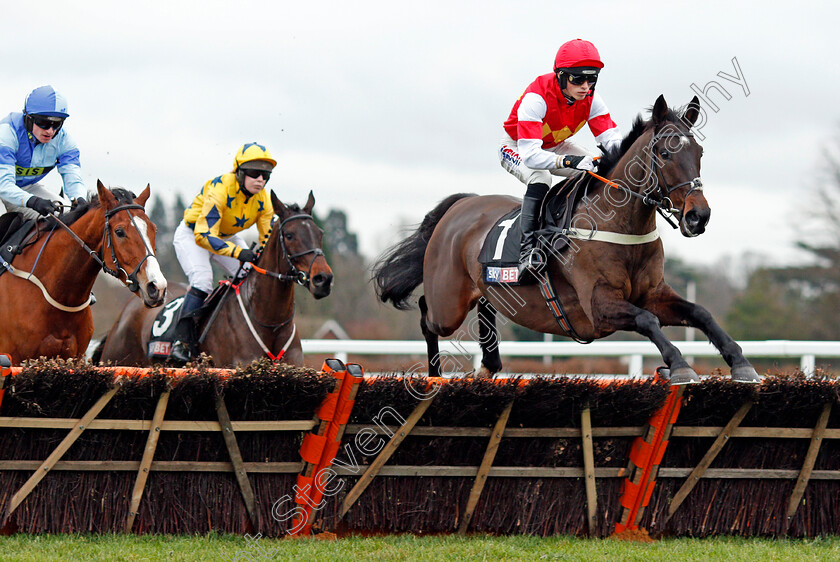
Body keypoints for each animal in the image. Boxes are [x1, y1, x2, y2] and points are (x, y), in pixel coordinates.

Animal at [374, 97, 760, 384]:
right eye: (665, 153)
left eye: (699, 154)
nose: (699, 216)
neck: (622, 226)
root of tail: (460, 204)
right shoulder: (599, 305)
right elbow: (647, 320)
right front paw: (678, 366)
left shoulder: (653, 293)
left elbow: (700, 313)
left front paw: (741, 362)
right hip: (448, 303)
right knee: (427, 313)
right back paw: (434, 376)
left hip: (484, 287)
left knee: (484, 304)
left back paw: (488, 364)